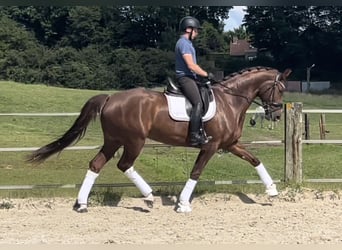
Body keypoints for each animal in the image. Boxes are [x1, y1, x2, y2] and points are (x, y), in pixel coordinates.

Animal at [27, 66, 292, 213]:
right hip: (134, 140)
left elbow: (254, 160)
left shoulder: (229, 144)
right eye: (280, 89)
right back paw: (148, 196)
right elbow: (196, 172)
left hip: (114, 140)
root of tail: (111, 97)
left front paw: (272, 190)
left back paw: (82, 204)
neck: (230, 100)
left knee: (96, 164)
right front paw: (183, 204)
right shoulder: (211, 145)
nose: (277, 115)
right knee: (124, 164)